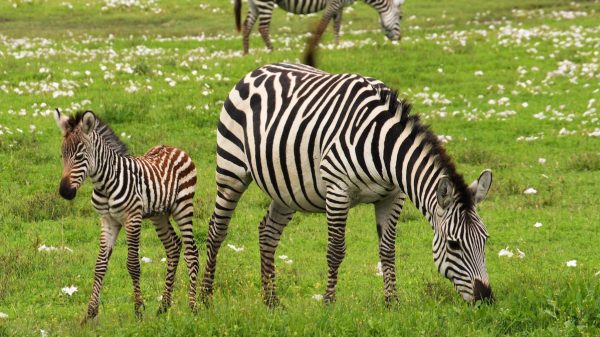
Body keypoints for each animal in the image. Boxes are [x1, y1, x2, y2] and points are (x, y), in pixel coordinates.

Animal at [54, 109, 199, 320]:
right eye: (62, 155)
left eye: (80, 156)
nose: (65, 192)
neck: (105, 184)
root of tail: (175, 148)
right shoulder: (108, 221)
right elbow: (100, 266)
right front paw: (90, 313)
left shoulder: (132, 218)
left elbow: (133, 265)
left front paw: (138, 310)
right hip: (159, 215)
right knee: (173, 247)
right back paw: (163, 306)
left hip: (183, 206)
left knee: (191, 251)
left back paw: (193, 306)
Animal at [200, 63, 492, 304]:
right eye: (454, 244)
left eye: (485, 239)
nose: (486, 298)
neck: (383, 146)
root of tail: (256, 70)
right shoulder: (338, 190)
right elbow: (335, 250)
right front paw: (329, 302)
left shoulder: (393, 196)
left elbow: (388, 250)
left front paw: (392, 303)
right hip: (231, 169)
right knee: (217, 229)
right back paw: (203, 298)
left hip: (286, 187)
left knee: (268, 232)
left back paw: (271, 300)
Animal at [236, 0, 404, 54]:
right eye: (401, 17)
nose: (400, 38)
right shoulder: (334, 3)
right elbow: (323, 25)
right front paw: (316, 45)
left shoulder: (339, 6)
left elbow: (337, 25)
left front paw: (337, 45)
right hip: (265, 2)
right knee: (262, 28)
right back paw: (272, 50)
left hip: (254, 4)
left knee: (246, 26)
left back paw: (246, 52)